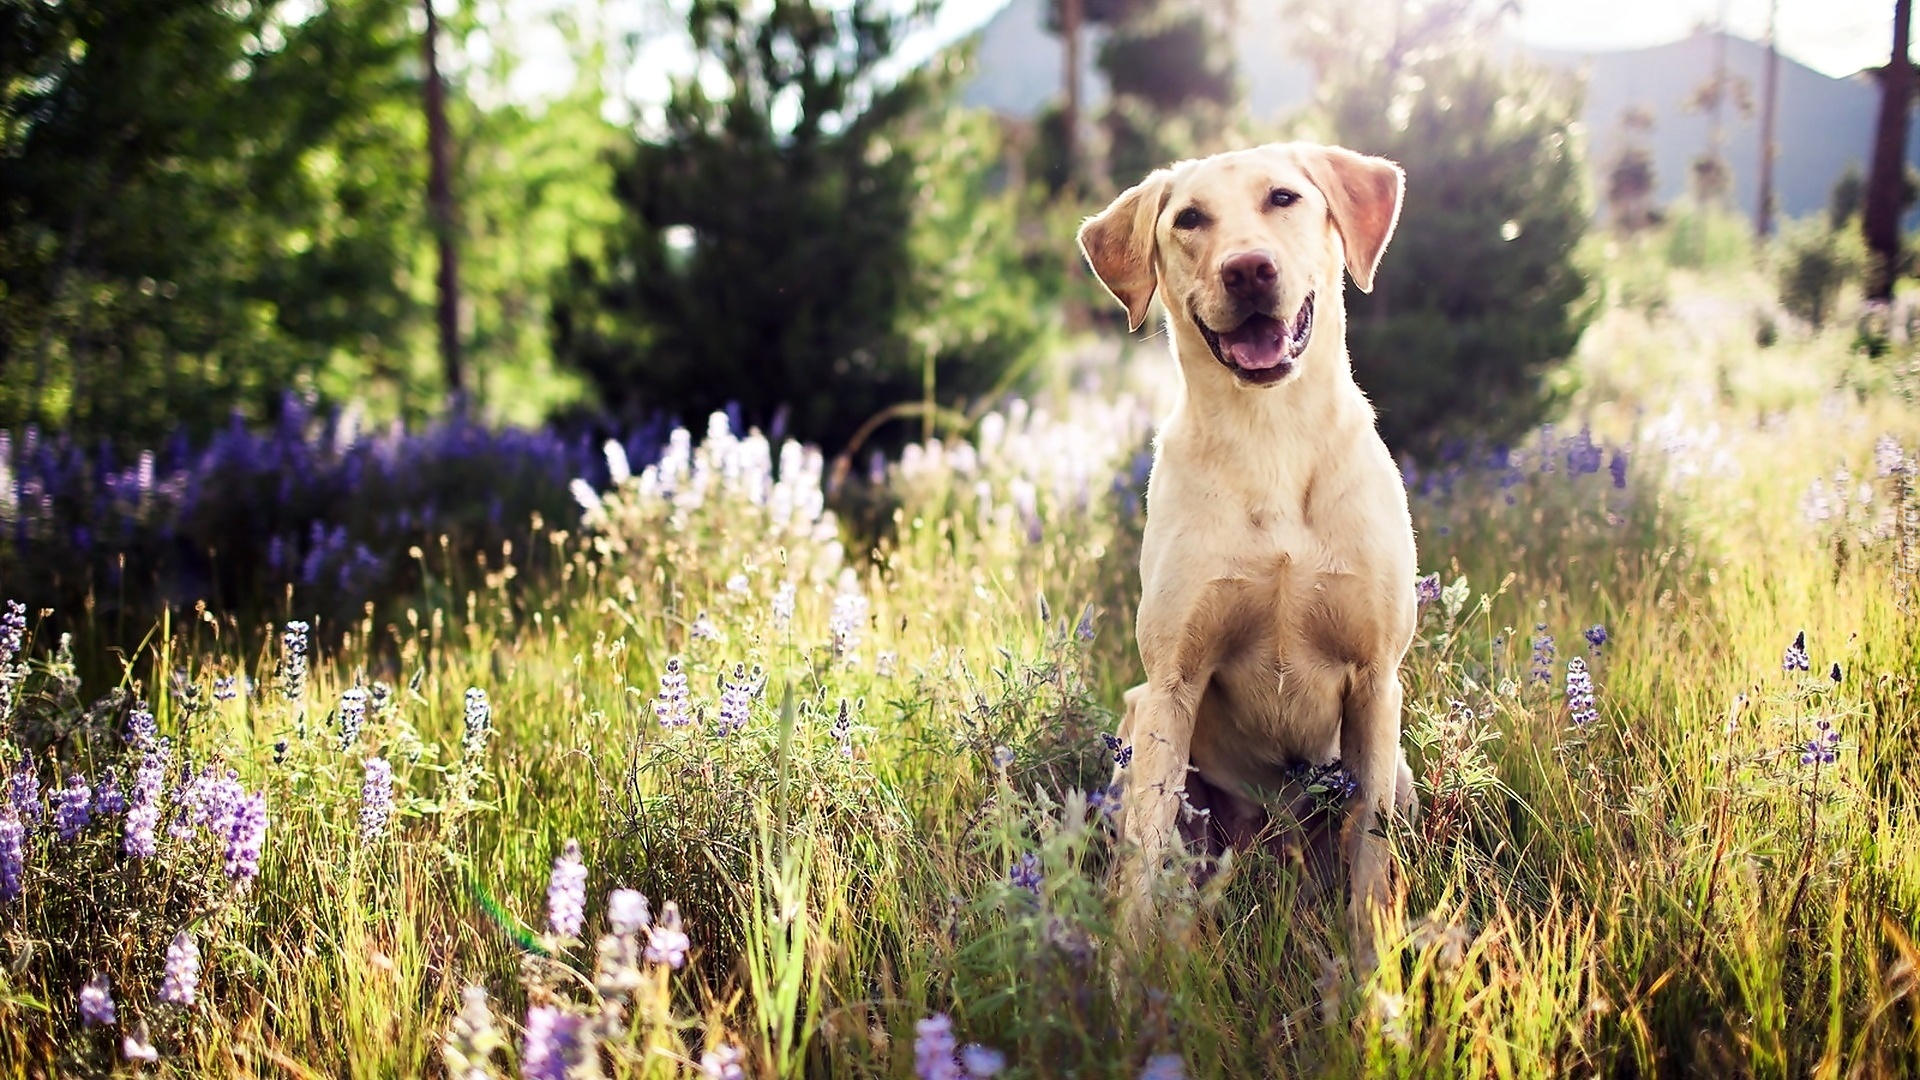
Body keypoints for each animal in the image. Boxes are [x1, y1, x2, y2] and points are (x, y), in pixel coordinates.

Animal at [1090, 141, 1420, 957]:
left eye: (1283, 198)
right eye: (1189, 219)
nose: (1247, 269)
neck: (1271, 434)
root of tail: (1276, 842)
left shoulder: (1377, 679)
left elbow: (1371, 855)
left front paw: (1370, 969)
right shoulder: (1172, 683)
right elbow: (1145, 853)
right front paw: (1125, 972)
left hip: (1397, 767)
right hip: (1136, 724)